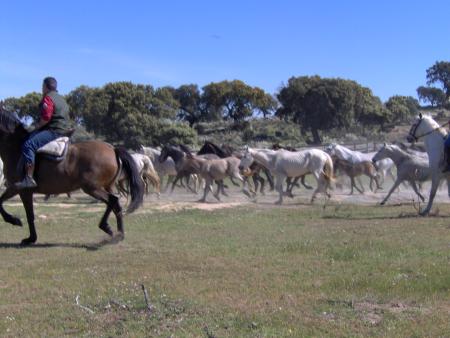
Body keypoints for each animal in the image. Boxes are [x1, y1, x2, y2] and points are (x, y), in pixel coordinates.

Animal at [0, 109, 144, 244]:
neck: (16, 147)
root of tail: (113, 149)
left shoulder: (20, 189)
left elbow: (22, 212)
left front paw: (17, 224)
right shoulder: (18, 189)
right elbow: (17, 209)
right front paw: (30, 236)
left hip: (91, 188)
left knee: (113, 200)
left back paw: (107, 228)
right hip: (106, 186)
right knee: (115, 204)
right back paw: (118, 234)